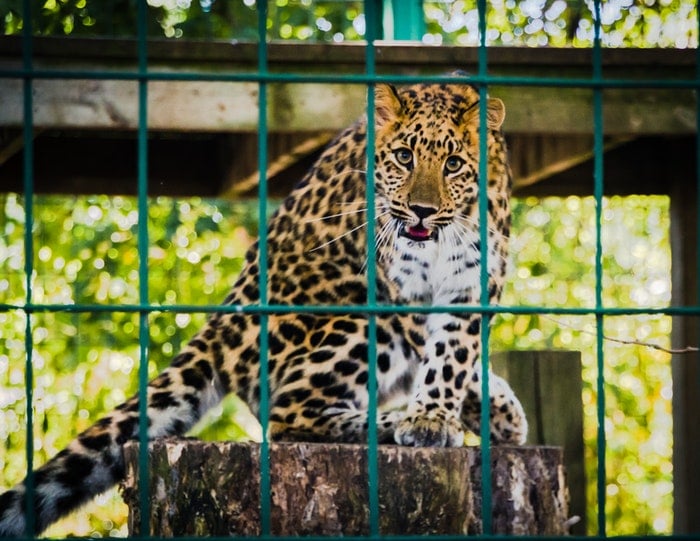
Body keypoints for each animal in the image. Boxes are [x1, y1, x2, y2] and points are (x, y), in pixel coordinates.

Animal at [0, 77, 527, 536]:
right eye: (404, 156)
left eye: (454, 165)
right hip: (355, 318)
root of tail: (221, 324)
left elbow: (458, 352)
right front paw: (431, 420)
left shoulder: (473, 281)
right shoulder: (402, 291)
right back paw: (390, 422)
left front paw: (479, 413)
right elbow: (444, 355)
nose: (420, 211)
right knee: (287, 411)